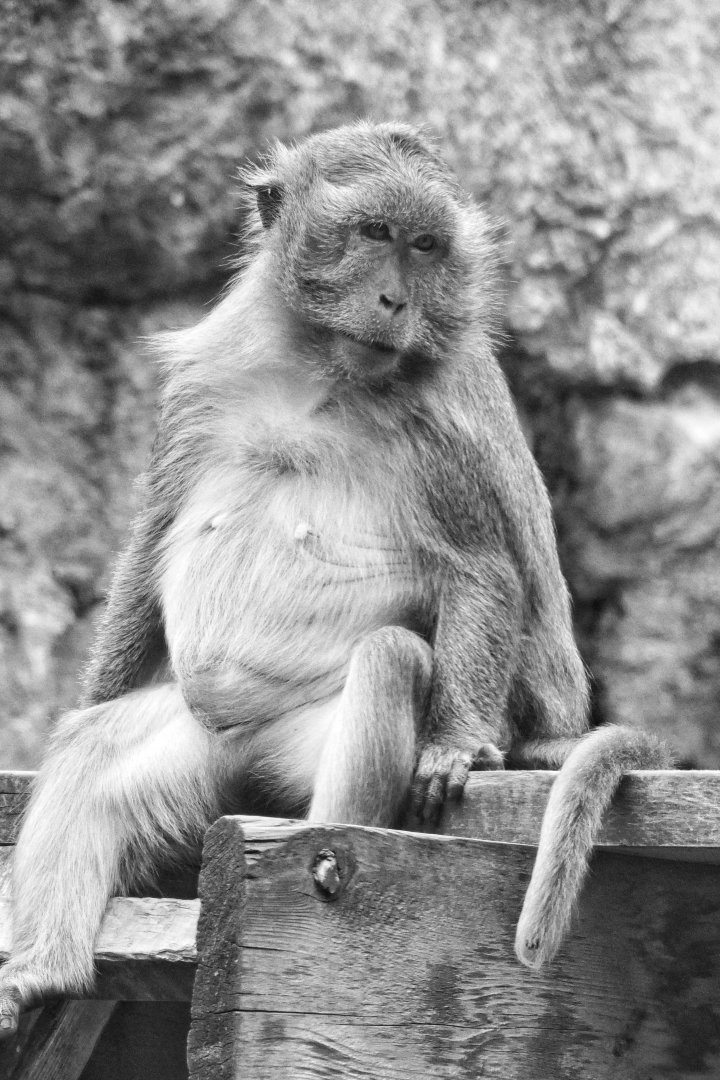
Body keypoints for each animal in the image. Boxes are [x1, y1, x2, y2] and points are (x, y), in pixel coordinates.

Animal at [0, 121, 670, 1036]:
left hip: (302, 741)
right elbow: (152, 543)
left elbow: (481, 570)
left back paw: (321, 864)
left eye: (425, 247)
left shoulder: (437, 430)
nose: (393, 300)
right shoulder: (196, 387)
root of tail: (247, 763)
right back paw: (39, 970)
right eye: (373, 234)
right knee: (95, 746)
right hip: (200, 739)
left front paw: (454, 742)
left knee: (388, 658)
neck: (318, 374)